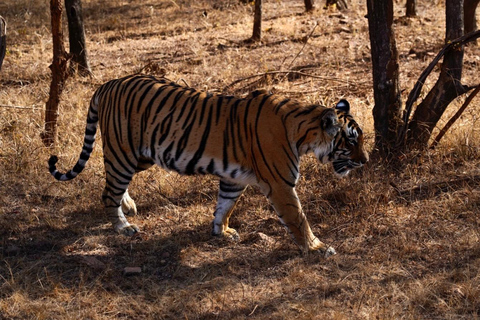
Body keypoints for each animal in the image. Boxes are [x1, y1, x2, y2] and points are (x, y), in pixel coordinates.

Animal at [48, 73, 368, 258]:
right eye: (351, 141)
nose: (365, 161)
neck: (304, 133)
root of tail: (108, 84)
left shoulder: (235, 178)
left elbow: (224, 205)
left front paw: (221, 232)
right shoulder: (280, 184)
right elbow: (298, 218)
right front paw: (317, 248)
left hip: (140, 156)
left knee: (113, 183)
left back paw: (128, 206)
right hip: (124, 152)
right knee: (108, 193)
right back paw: (124, 226)